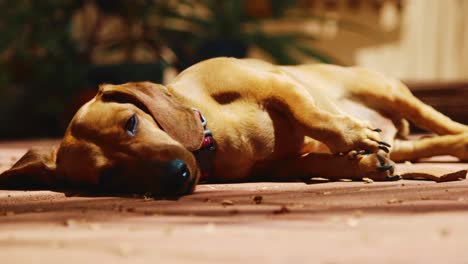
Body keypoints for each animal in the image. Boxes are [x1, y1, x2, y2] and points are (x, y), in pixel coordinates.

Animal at [2, 58, 468, 196]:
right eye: (108, 177)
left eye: (131, 122)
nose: (177, 175)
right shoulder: (282, 167)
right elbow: (322, 161)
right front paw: (365, 163)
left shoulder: (277, 83)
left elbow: (311, 114)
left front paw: (352, 138)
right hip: (407, 143)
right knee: (431, 143)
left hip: (390, 91)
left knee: (439, 120)